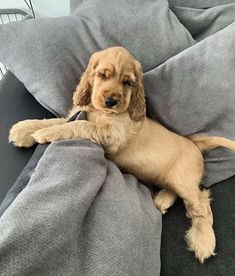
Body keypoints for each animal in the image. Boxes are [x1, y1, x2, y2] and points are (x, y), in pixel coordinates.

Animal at [9, 45, 235, 264]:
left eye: (127, 82)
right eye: (102, 75)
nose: (111, 101)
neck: (101, 112)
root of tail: (196, 143)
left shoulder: (112, 137)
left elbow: (79, 125)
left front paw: (46, 133)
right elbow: (59, 120)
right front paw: (24, 129)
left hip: (183, 180)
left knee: (201, 203)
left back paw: (203, 241)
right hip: (173, 180)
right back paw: (162, 200)